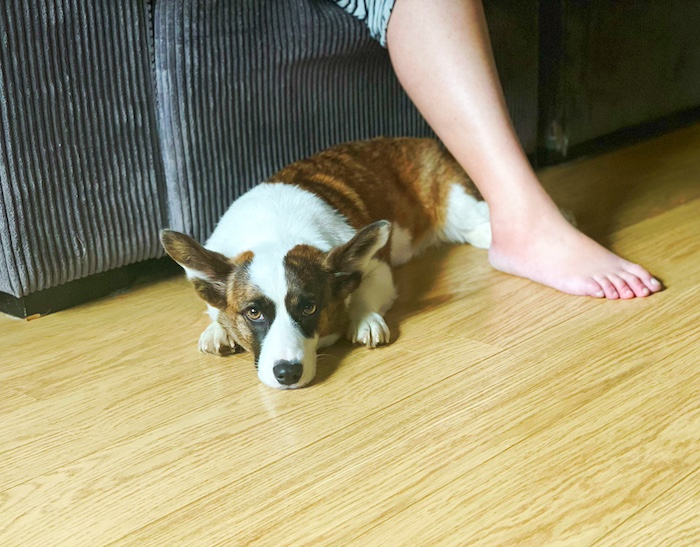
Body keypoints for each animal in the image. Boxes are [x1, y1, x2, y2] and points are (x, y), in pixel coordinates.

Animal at [164, 139, 492, 392]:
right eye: (253, 312)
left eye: (310, 308)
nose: (288, 374)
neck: (275, 233)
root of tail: (422, 141)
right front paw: (217, 330)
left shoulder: (377, 268)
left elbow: (363, 294)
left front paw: (364, 319)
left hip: (460, 210)